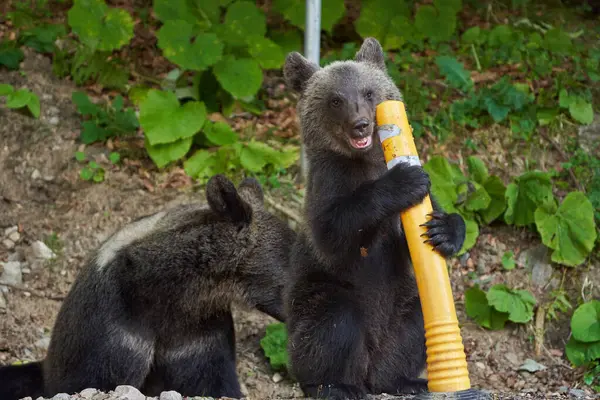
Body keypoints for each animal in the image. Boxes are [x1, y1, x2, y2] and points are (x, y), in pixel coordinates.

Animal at [284, 36, 466, 396]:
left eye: (368, 93)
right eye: (336, 99)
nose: (361, 124)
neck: (365, 161)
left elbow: (417, 233)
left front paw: (444, 231)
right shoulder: (328, 186)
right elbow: (336, 230)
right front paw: (404, 181)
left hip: (400, 305)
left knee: (414, 324)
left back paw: (403, 380)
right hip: (315, 299)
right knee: (333, 321)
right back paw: (335, 385)